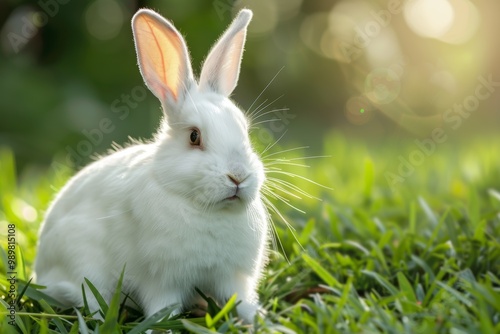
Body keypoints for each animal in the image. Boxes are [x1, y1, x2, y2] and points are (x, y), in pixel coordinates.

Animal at [34, 8, 270, 324]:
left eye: (244, 130)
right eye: (194, 136)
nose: (238, 177)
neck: (206, 209)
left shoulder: (232, 278)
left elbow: (241, 302)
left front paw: (263, 321)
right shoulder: (161, 282)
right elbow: (162, 308)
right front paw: (162, 326)